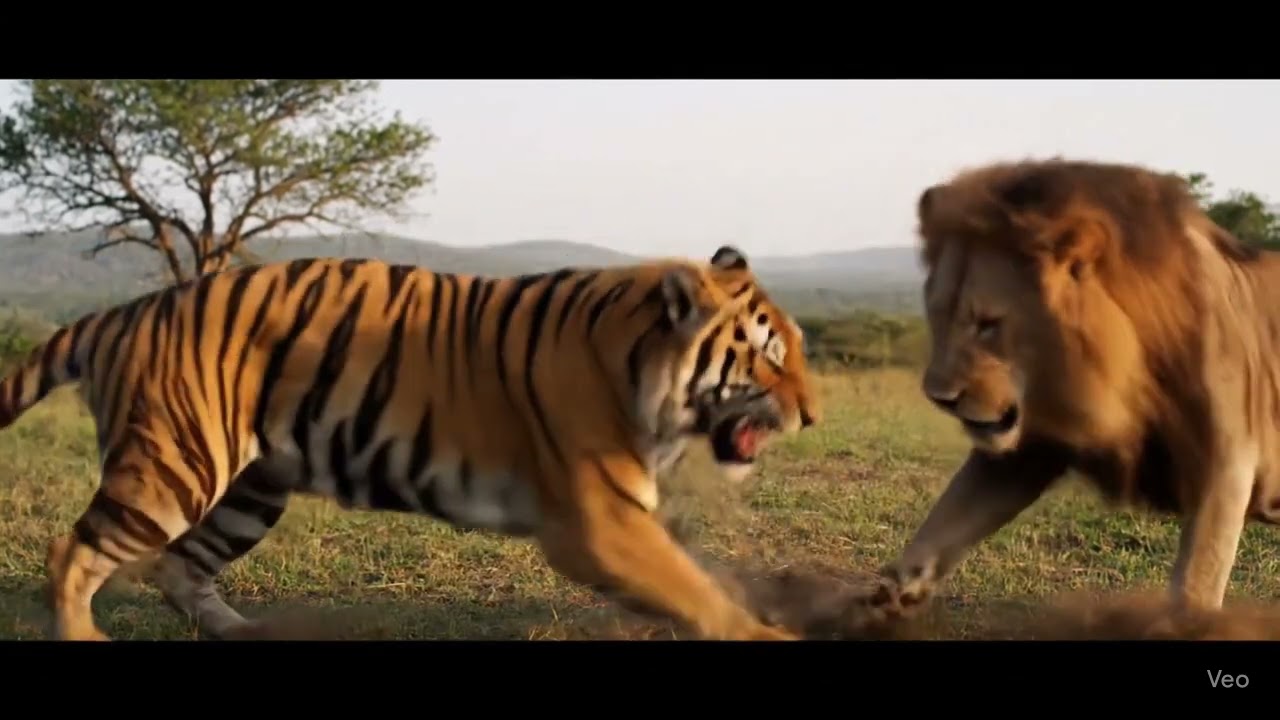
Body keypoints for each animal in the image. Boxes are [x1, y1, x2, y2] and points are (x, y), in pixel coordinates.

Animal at [0, 245, 820, 641]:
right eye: (770, 357)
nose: (812, 414)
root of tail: (130, 308)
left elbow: (702, 581)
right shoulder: (599, 524)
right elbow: (698, 592)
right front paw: (767, 636)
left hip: (249, 490)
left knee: (180, 569)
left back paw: (249, 632)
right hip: (174, 466)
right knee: (71, 553)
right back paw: (85, 638)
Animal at [852, 157, 1280, 627]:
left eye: (988, 324)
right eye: (939, 315)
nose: (939, 397)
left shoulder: (1225, 464)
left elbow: (1196, 579)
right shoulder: (1027, 449)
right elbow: (950, 516)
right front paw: (895, 592)